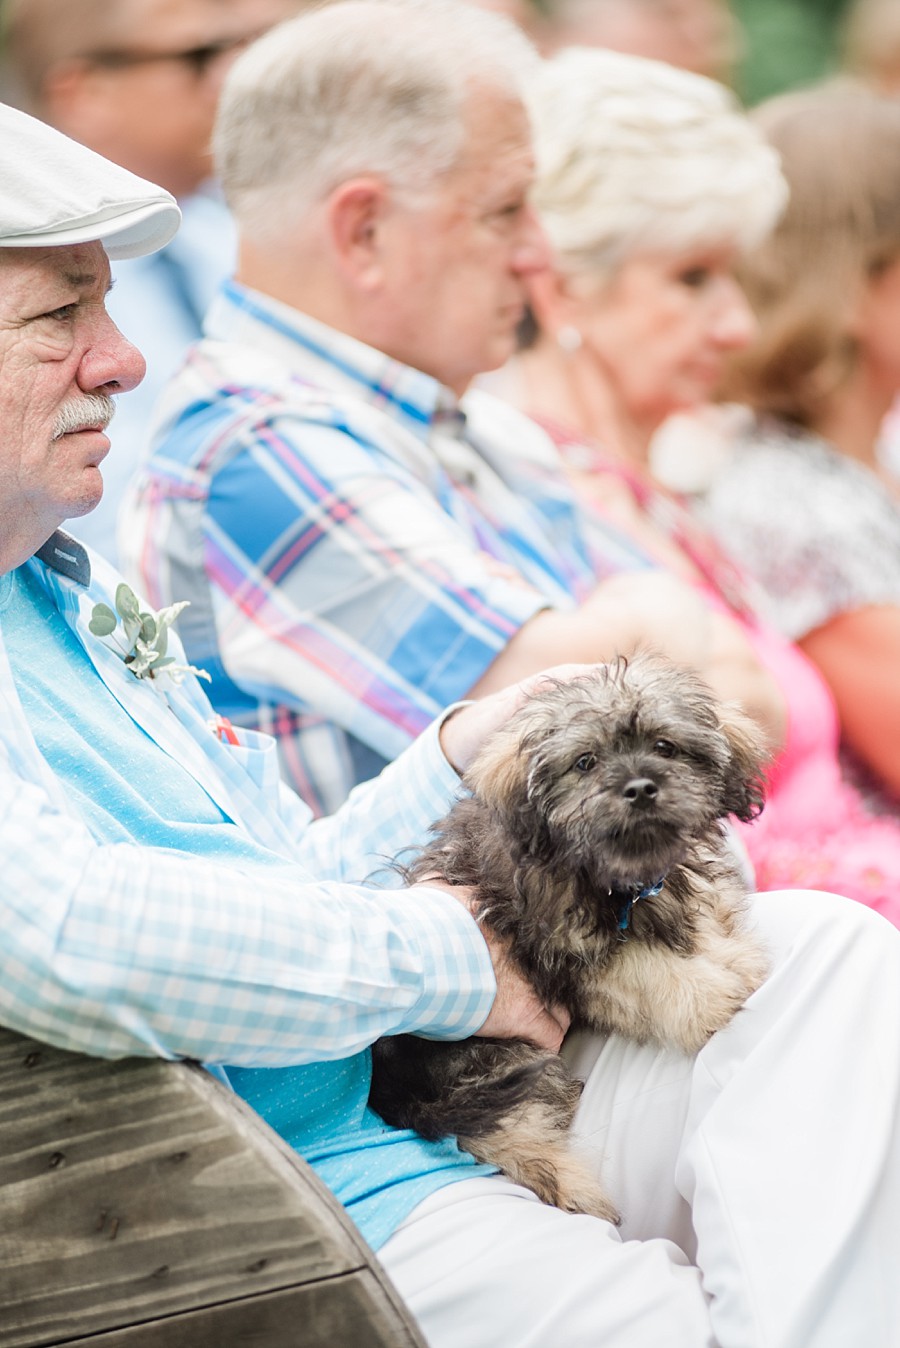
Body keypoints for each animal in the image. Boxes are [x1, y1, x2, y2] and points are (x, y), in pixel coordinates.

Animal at [369, 652, 770, 1223]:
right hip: (492, 1062)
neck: (614, 878)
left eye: (664, 746)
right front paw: (712, 994)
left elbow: (702, 914)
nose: (640, 788)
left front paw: (728, 952)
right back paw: (573, 1185)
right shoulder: (560, 954)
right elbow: (644, 967)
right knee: (506, 1133)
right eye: (585, 762)